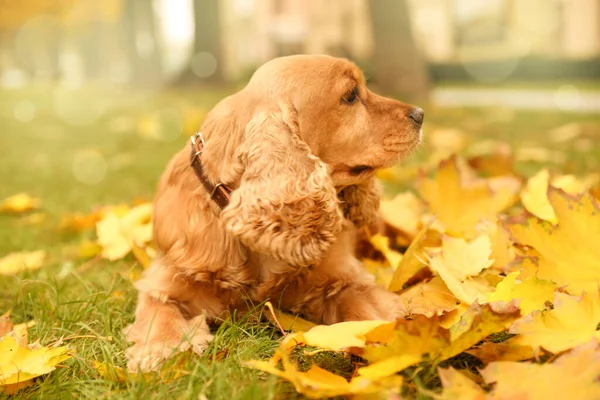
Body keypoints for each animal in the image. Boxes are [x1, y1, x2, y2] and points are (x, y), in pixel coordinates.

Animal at [123, 54, 422, 370]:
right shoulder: (164, 280)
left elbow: (362, 304)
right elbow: (159, 313)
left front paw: (381, 340)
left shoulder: (344, 278)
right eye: (351, 95)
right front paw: (160, 349)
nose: (420, 114)